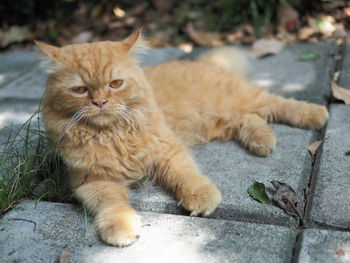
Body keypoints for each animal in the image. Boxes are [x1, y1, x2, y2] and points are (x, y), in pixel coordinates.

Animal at [35, 31, 328, 248]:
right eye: (80, 90)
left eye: (115, 84)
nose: (100, 102)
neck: (111, 135)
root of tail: (204, 63)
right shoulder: (92, 181)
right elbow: (113, 205)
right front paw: (121, 228)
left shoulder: (168, 150)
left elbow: (185, 175)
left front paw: (201, 197)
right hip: (216, 121)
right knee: (250, 118)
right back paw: (262, 140)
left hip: (236, 101)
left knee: (277, 104)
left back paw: (315, 115)